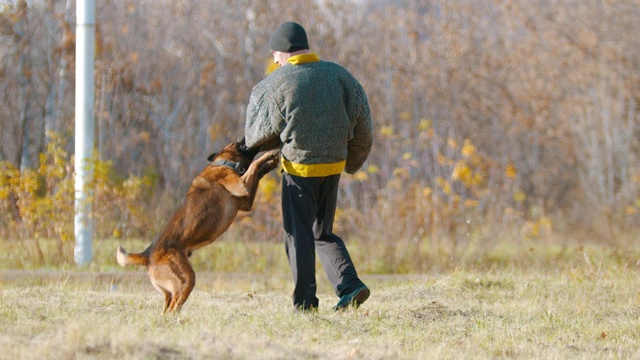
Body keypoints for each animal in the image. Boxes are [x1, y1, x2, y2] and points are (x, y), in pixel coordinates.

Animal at [115, 139, 280, 314]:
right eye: (239, 142)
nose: (245, 138)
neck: (224, 162)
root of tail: (147, 254)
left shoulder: (246, 201)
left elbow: (257, 172)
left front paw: (270, 164)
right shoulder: (242, 184)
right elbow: (254, 164)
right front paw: (268, 156)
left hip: (169, 290)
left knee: (167, 308)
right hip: (187, 279)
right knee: (174, 307)